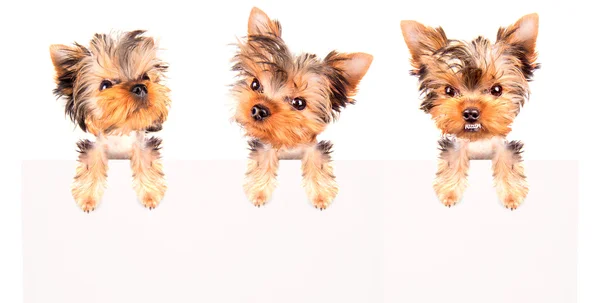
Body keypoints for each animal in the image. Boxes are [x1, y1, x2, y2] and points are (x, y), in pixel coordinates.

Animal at [50, 30, 170, 211]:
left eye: (145, 77)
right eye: (105, 85)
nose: (140, 87)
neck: (121, 130)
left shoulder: (142, 145)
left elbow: (145, 161)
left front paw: (150, 194)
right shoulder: (96, 147)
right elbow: (91, 163)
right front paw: (87, 197)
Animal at [232, 8, 372, 210]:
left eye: (299, 103)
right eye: (255, 84)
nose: (259, 110)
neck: (286, 142)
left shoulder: (313, 147)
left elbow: (317, 161)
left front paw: (321, 195)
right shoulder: (265, 146)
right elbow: (263, 160)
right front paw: (259, 192)